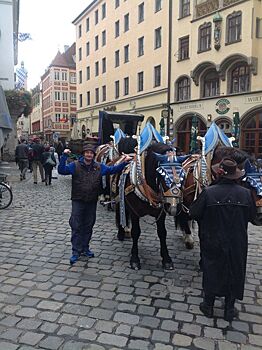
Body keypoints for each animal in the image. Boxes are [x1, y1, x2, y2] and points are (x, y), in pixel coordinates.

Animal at [113, 142, 183, 270]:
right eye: (162, 174)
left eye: (183, 175)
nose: (173, 206)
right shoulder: (134, 212)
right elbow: (136, 232)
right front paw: (135, 259)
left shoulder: (161, 213)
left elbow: (162, 233)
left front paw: (166, 259)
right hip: (119, 199)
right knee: (120, 212)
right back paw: (121, 233)